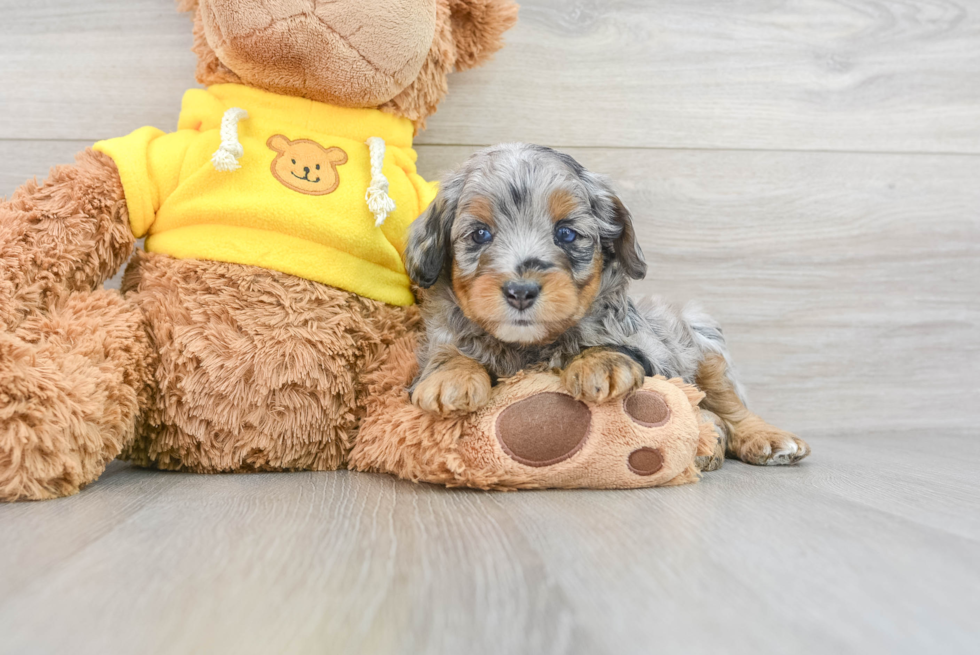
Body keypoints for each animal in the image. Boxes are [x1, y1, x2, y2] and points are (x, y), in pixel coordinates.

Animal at [402, 146, 808, 468]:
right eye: (480, 234)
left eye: (566, 233)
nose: (521, 291)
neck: (530, 346)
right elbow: (451, 352)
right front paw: (450, 376)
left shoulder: (651, 353)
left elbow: (609, 346)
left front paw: (599, 362)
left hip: (701, 343)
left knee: (731, 404)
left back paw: (767, 438)